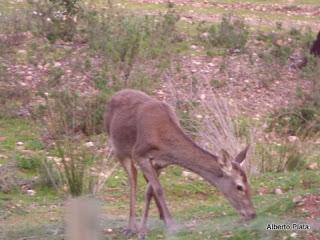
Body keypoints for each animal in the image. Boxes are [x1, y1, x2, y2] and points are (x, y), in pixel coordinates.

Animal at [104, 89, 256, 239]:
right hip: (118, 148)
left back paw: (158, 217)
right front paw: (171, 226)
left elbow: (150, 190)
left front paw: (149, 228)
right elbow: (158, 189)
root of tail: (114, 95)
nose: (252, 214)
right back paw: (130, 227)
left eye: (249, 184)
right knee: (132, 178)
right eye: (239, 187)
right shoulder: (139, 154)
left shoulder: (160, 163)